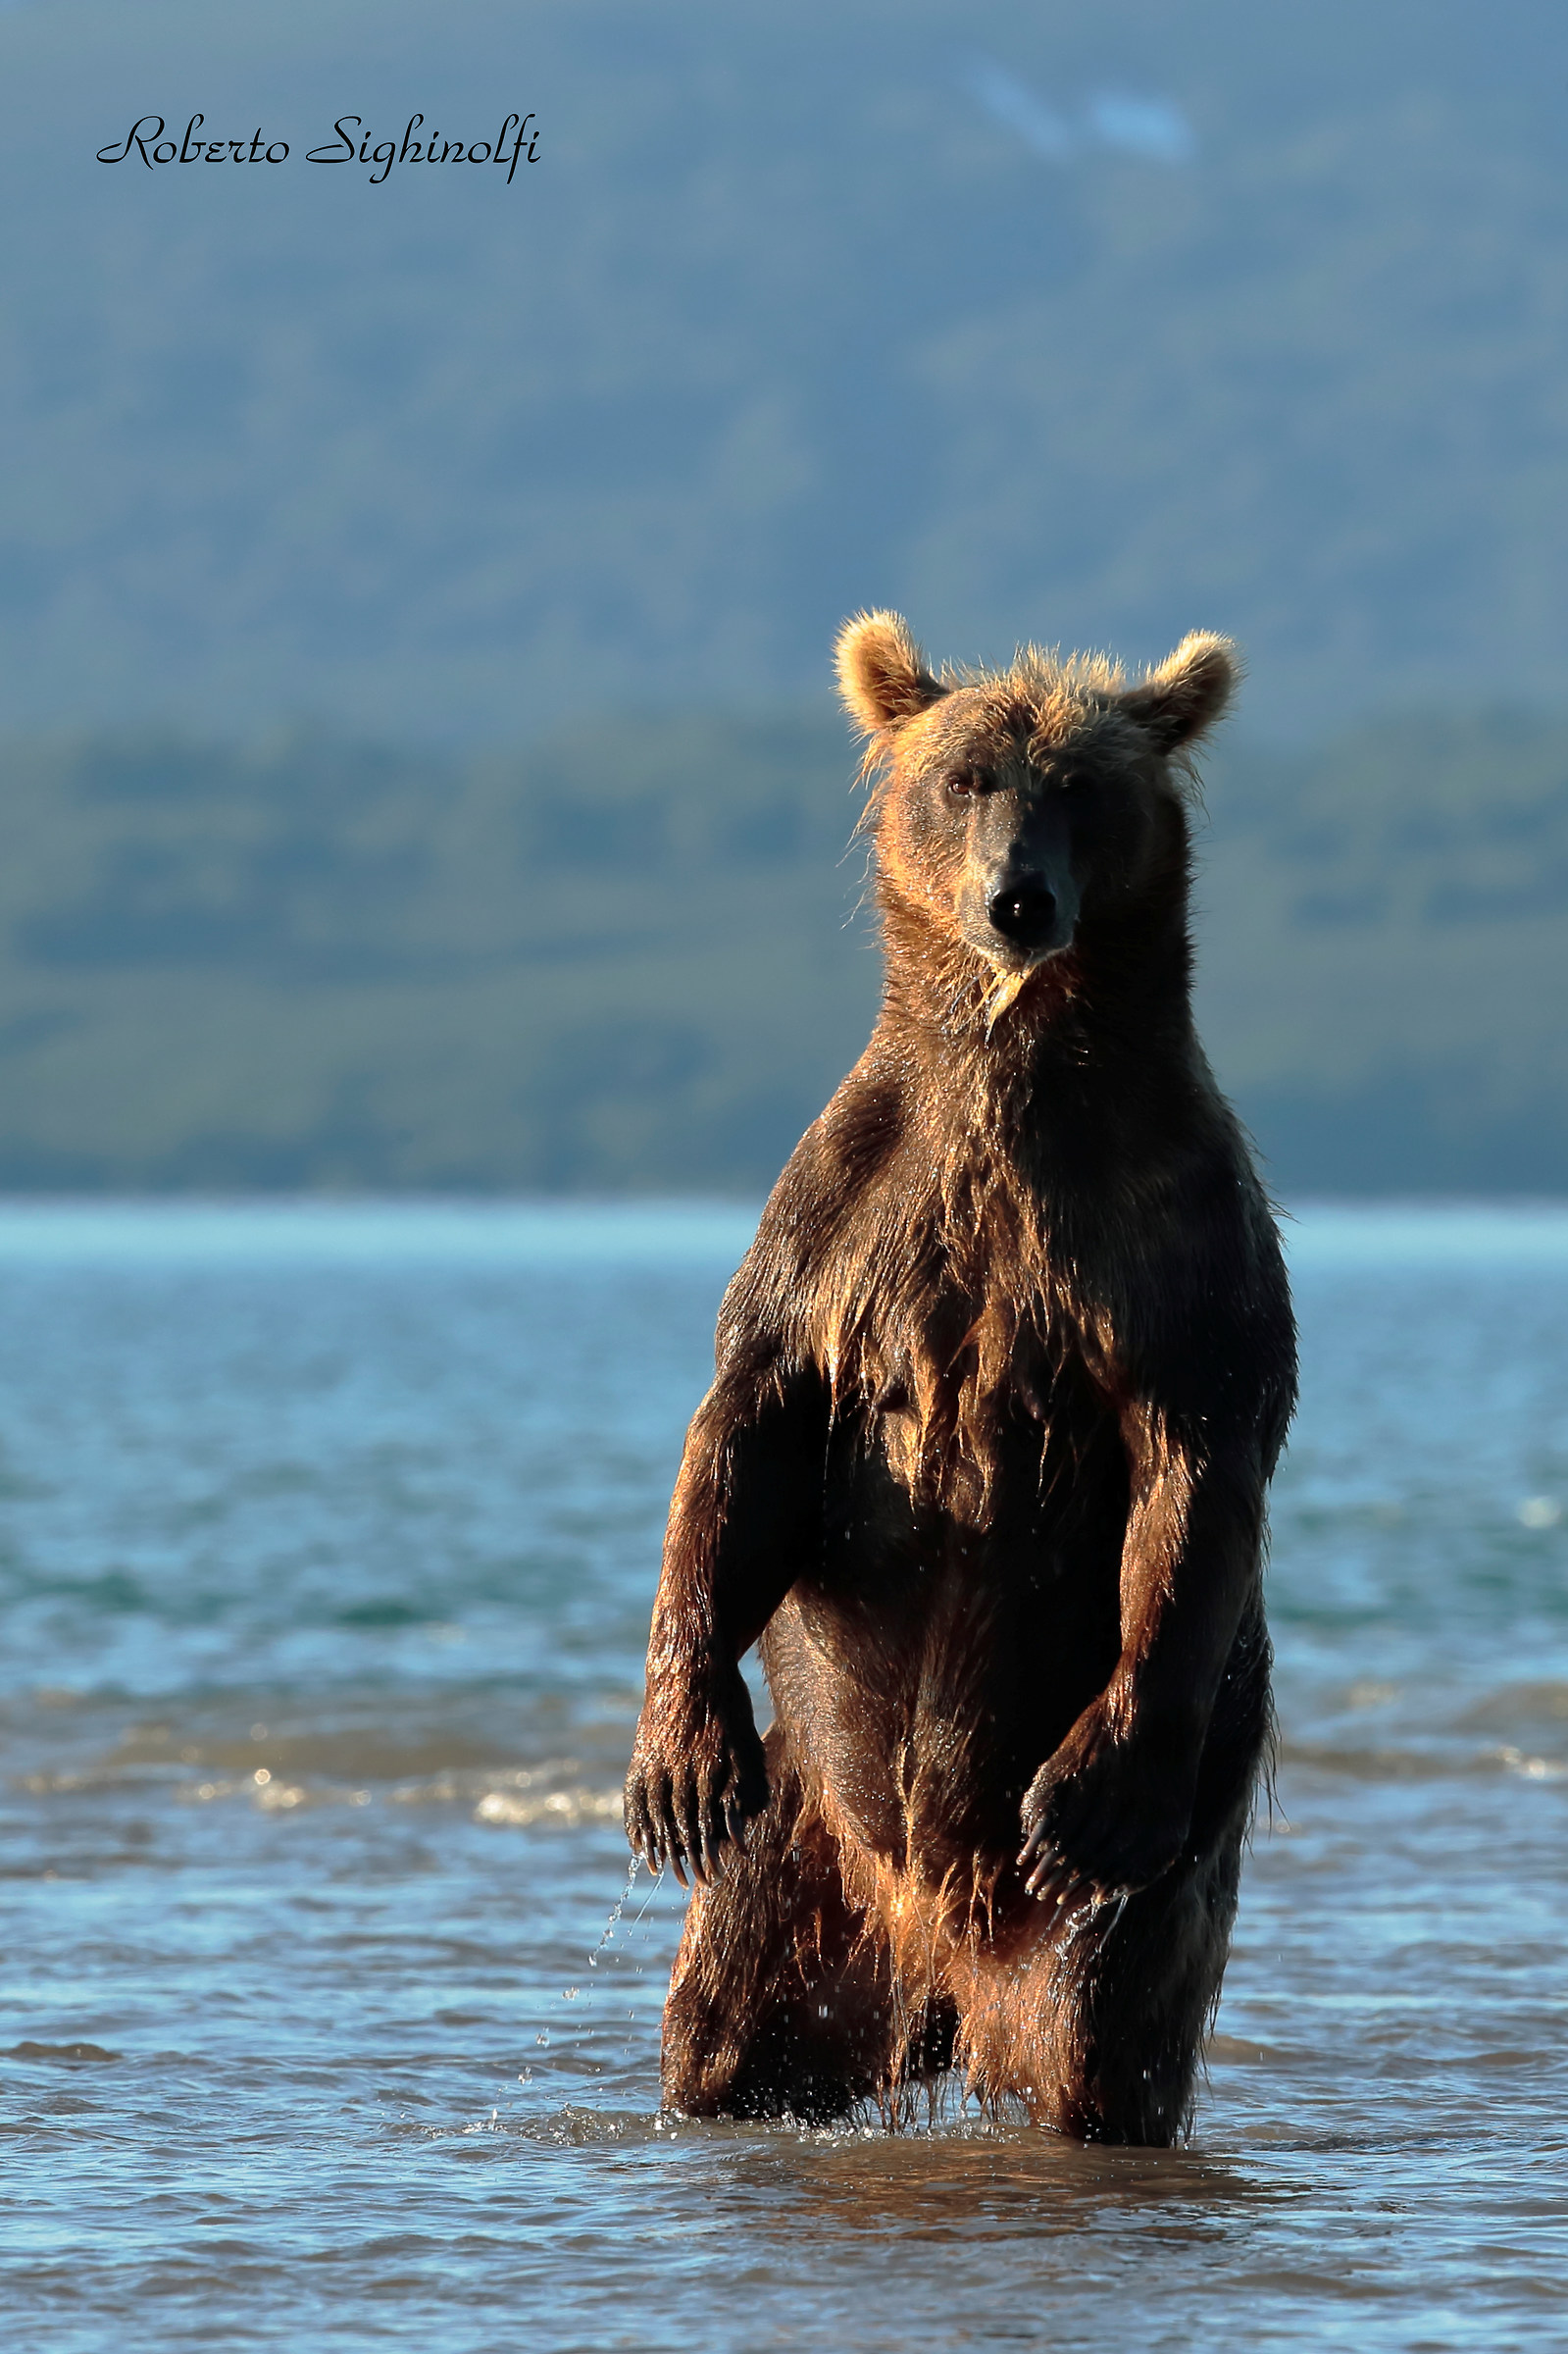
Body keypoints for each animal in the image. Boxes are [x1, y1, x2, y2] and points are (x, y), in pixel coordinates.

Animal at [623, 613, 1296, 2144]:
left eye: (1081, 790)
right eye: (966, 778)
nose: (1016, 901)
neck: (1013, 1074)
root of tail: (933, 1959)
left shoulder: (1169, 1249)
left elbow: (1192, 1466)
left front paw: (1091, 1794)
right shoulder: (843, 1223)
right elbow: (744, 1429)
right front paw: (674, 1761)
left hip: (1151, 1863)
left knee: (1102, 2031)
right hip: (800, 1842)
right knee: (723, 2027)